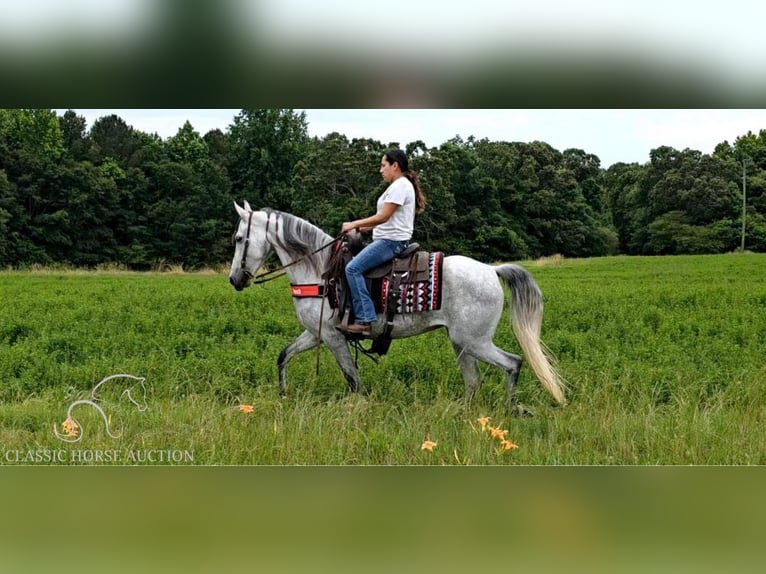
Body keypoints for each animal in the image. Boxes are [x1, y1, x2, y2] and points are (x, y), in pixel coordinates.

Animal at [228, 202, 568, 410]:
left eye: (239, 238)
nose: (234, 279)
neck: (320, 271)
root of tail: (492, 270)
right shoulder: (315, 334)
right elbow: (283, 356)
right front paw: (283, 394)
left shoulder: (334, 337)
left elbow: (352, 379)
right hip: (462, 343)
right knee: (474, 381)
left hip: (475, 341)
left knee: (513, 363)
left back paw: (514, 409)